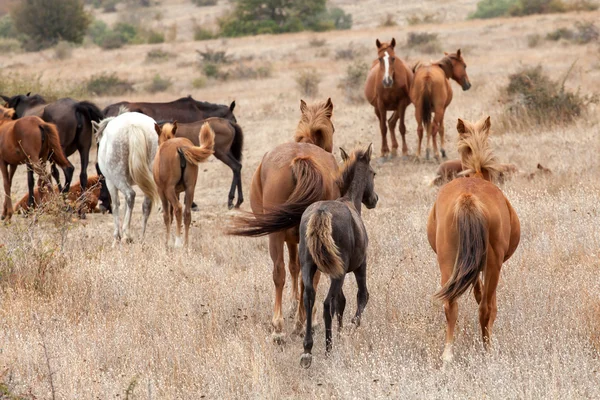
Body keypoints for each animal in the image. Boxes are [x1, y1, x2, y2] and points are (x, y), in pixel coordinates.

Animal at [94, 111, 161, 245]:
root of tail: (133, 125)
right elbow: (125, 207)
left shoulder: (110, 182)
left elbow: (115, 205)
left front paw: (117, 236)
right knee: (146, 204)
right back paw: (141, 238)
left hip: (118, 178)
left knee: (130, 195)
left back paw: (127, 235)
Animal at [227, 98, 338, 342]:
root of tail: (301, 159)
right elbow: (297, 269)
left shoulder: (290, 238)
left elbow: (293, 268)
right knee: (304, 276)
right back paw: (299, 323)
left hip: (277, 235)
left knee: (280, 272)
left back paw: (280, 327)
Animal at [298, 145, 378, 368]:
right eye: (373, 173)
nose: (374, 199)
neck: (350, 201)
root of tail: (321, 212)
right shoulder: (360, 265)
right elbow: (362, 296)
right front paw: (351, 327)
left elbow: (341, 302)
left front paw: (341, 333)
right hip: (339, 273)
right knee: (327, 304)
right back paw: (327, 349)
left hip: (308, 266)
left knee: (310, 298)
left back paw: (307, 349)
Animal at [426, 115, 520, 362]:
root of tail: (468, 197)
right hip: (493, 263)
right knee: (487, 308)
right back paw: (487, 350)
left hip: (448, 260)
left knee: (451, 304)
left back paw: (447, 356)